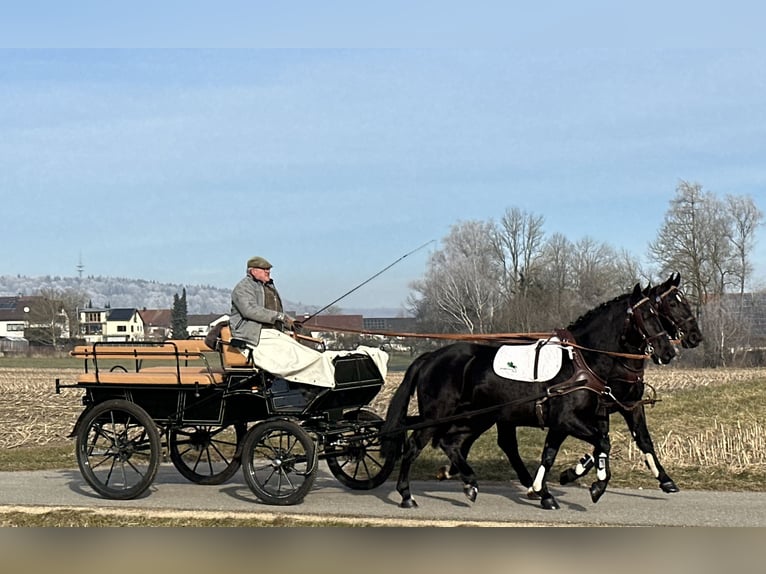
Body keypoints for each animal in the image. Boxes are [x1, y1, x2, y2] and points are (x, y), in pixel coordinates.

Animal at [380, 282, 676, 510]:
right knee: (415, 445)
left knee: (453, 443)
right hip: (438, 415)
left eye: (659, 313)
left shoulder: (566, 421)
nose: (668, 351)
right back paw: (407, 494)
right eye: (647, 315)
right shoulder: (567, 419)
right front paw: (595, 484)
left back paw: (470, 482)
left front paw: (552, 487)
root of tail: (431, 357)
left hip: (475, 417)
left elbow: (555, 453)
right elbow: (602, 443)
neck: (581, 361)